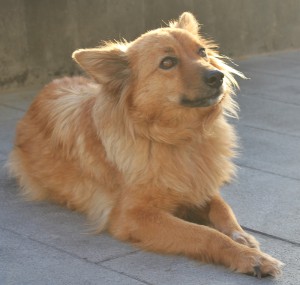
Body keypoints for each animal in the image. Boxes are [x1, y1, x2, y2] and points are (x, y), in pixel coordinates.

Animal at [8, 12, 282, 276]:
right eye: (167, 62)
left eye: (201, 52)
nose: (218, 76)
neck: (177, 138)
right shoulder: (133, 216)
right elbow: (205, 234)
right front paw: (250, 258)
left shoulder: (200, 188)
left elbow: (223, 209)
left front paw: (242, 237)